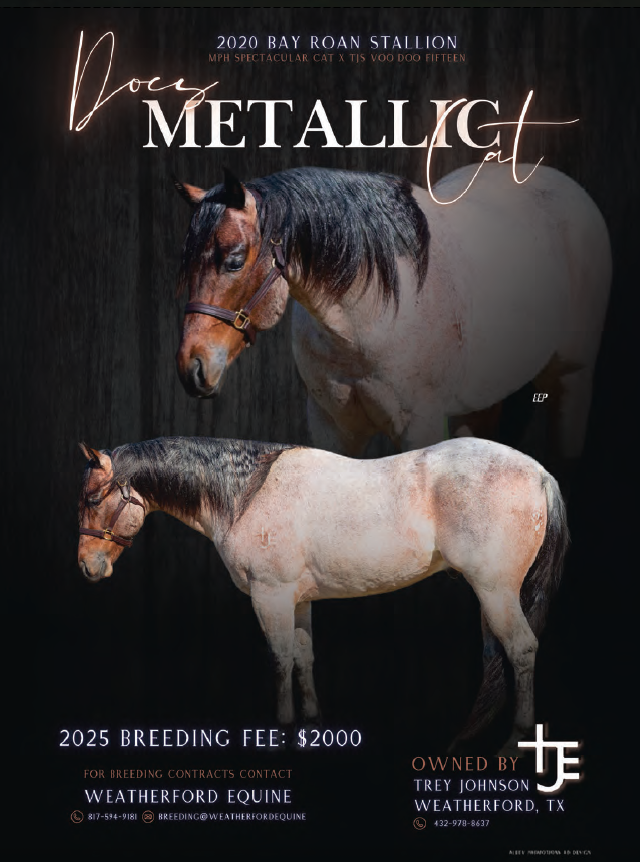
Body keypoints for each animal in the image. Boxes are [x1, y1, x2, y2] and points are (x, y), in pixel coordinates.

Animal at [77, 434, 568, 753]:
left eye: (93, 498)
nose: (87, 567)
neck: (246, 494)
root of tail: (539, 473)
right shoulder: (298, 601)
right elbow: (303, 657)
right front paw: (312, 724)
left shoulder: (270, 596)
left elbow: (279, 659)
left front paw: (281, 729)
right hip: (491, 595)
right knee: (496, 656)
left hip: (496, 590)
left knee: (521, 650)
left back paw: (516, 741)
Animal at [174, 164, 611, 477]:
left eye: (234, 259)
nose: (191, 368)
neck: (365, 322)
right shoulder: (332, 428)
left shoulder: (420, 429)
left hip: (571, 380)